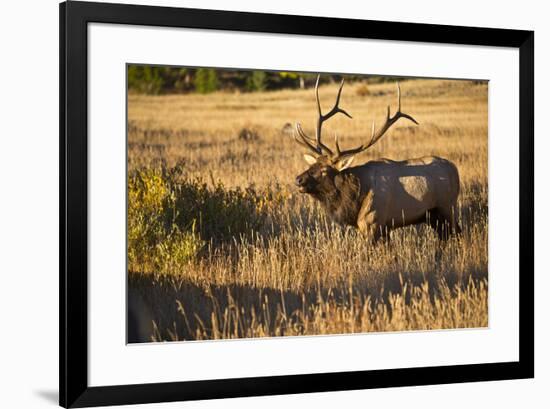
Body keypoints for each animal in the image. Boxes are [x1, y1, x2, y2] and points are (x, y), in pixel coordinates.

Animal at [296, 75, 464, 241]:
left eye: (324, 170)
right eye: (312, 165)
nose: (298, 179)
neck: (354, 200)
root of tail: (454, 168)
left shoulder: (374, 222)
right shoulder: (381, 227)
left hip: (448, 206)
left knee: (457, 232)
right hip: (433, 216)